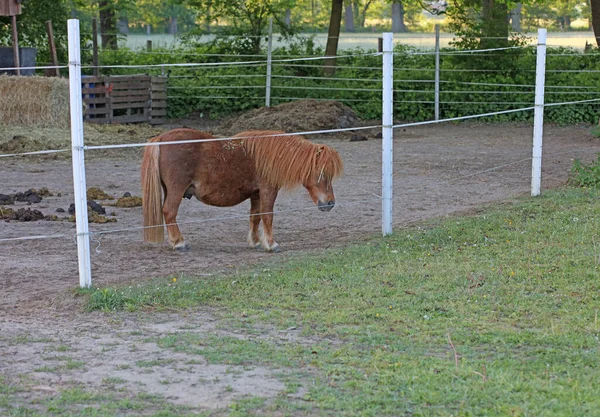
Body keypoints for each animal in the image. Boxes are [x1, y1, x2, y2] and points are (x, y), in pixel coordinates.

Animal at [141, 127, 344, 250]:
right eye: (321, 173)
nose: (330, 203)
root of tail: (161, 139)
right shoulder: (268, 191)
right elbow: (267, 216)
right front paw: (271, 244)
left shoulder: (256, 194)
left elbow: (255, 217)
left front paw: (255, 242)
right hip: (176, 191)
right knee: (169, 212)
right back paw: (179, 243)